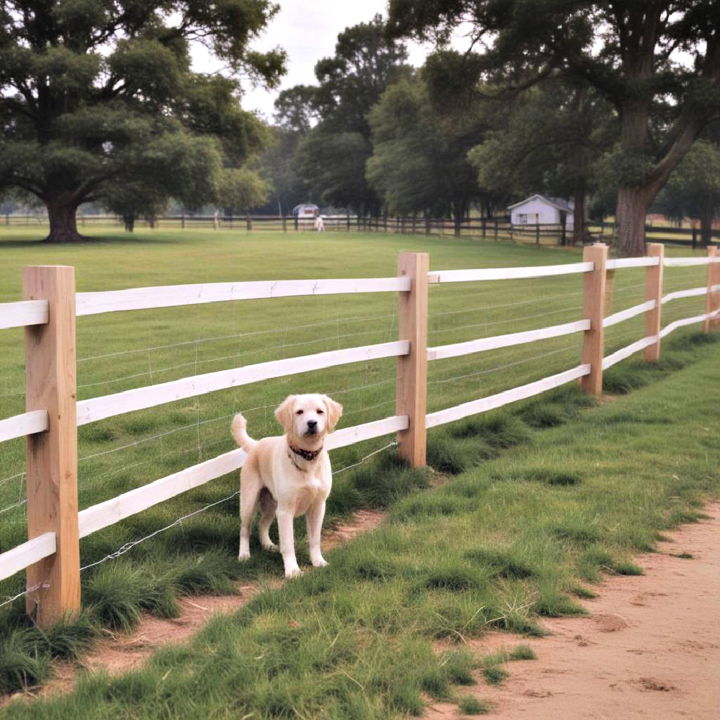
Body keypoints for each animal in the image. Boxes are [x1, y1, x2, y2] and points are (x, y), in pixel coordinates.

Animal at [232, 396, 342, 576]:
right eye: (299, 412)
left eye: (320, 411)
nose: (312, 423)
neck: (307, 459)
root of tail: (256, 444)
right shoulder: (285, 511)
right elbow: (288, 543)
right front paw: (292, 571)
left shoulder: (318, 507)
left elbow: (315, 539)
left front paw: (318, 562)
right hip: (249, 502)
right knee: (244, 529)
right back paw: (244, 555)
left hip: (271, 504)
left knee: (262, 524)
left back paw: (268, 546)